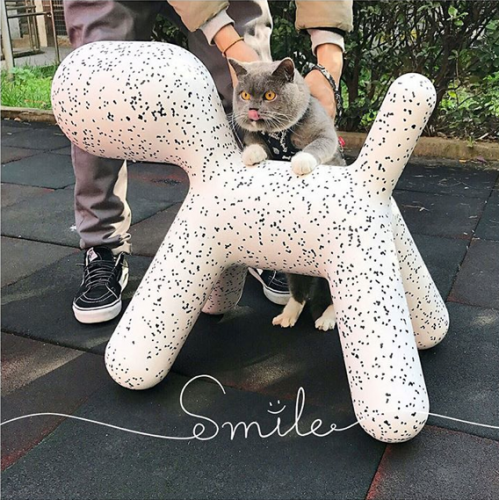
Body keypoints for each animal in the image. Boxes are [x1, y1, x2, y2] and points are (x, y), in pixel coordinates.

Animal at [229, 57, 346, 331]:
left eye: (269, 95)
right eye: (245, 94)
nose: (252, 109)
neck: (278, 135)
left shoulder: (325, 134)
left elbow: (317, 145)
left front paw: (300, 161)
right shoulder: (254, 135)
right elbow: (255, 141)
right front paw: (252, 154)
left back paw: (327, 318)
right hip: (292, 259)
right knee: (298, 290)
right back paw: (288, 315)